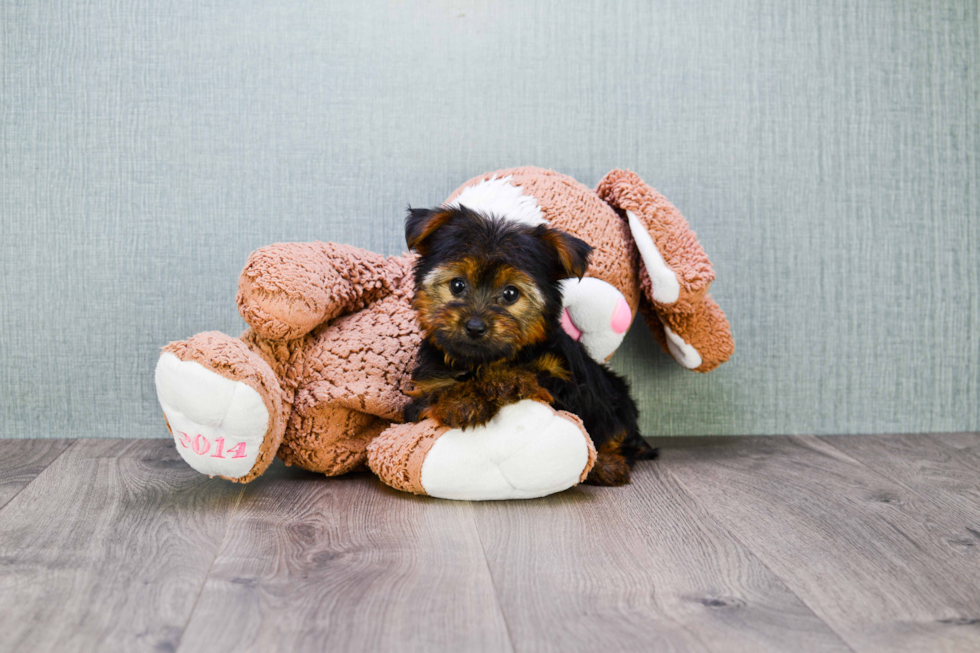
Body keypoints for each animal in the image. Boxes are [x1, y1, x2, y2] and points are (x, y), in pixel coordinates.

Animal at [402, 206, 656, 486]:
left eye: (511, 293)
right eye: (457, 285)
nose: (475, 326)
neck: (482, 361)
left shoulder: (563, 379)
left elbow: (533, 375)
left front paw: (500, 381)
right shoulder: (422, 393)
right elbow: (434, 397)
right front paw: (462, 401)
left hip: (617, 402)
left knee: (616, 437)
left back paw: (608, 465)